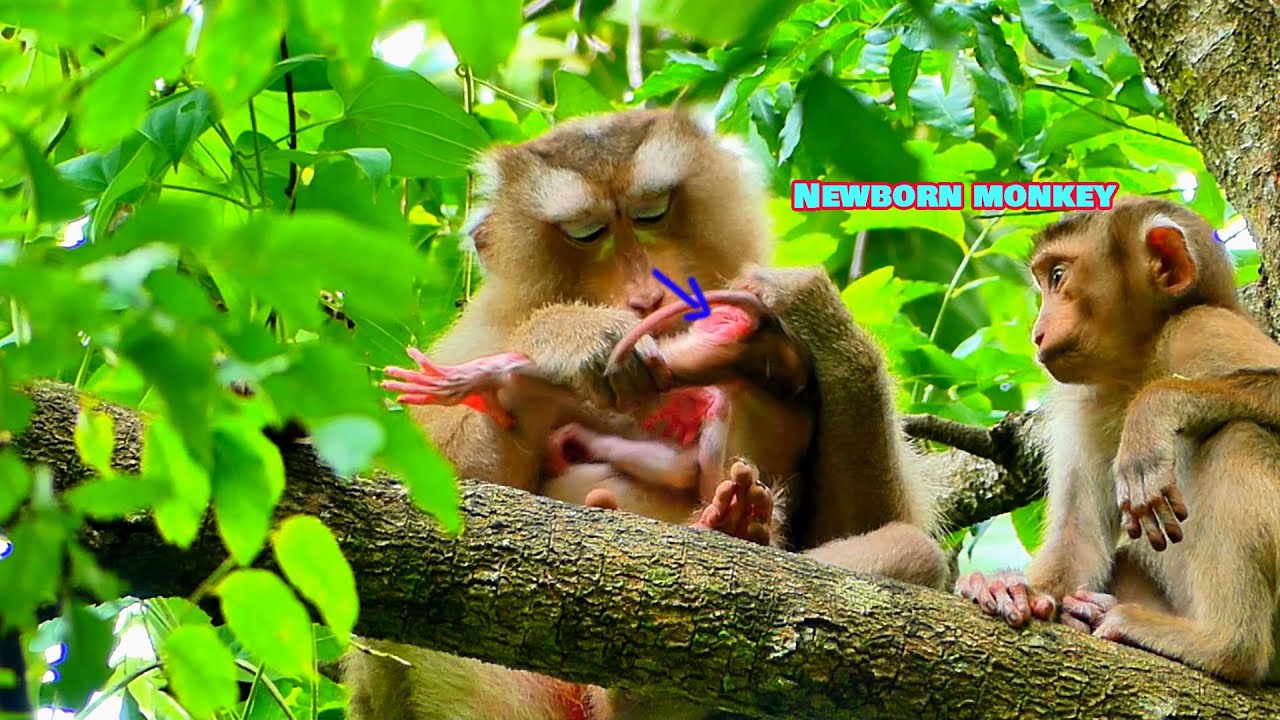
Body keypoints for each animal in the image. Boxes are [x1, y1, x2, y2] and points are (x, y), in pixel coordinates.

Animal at [343, 108, 947, 720]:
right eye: (587, 233)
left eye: (652, 213)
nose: (646, 295)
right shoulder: (479, 335)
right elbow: (445, 505)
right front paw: (565, 334)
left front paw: (823, 322)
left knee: (913, 551)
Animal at [955, 195, 1280, 683]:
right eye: (1044, 281)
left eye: (1057, 277)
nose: (1037, 331)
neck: (1138, 363)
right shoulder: (1085, 403)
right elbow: (1079, 539)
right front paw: (1010, 588)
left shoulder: (1203, 329)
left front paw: (1152, 411)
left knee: (1238, 437)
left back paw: (1225, 647)